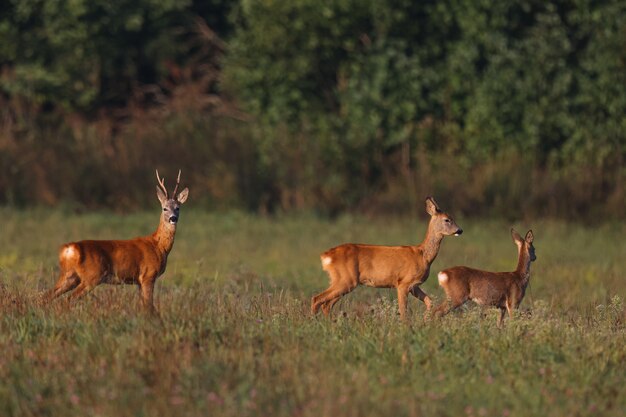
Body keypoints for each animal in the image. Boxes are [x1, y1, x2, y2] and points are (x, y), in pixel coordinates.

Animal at [310, 197, 460, 320]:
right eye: (447, 219)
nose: (460, 230)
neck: (423, 255)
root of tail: (326, 255)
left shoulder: (414, 285)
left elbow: (429, 301)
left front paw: (426, 320)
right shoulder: (403, 283)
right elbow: (404, 311)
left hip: (341, 280)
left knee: (326, 304)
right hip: (347, 280)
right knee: (317, 299)